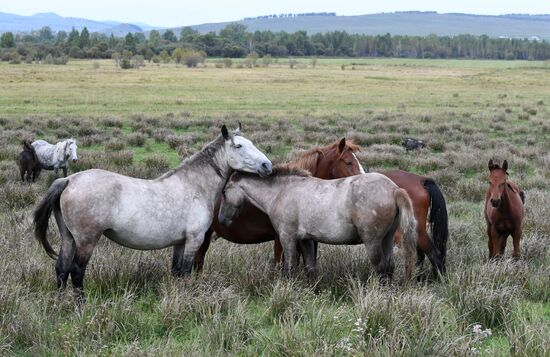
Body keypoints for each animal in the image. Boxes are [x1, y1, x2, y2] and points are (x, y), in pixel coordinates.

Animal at [34, 124, 274, 298]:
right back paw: (80, 306)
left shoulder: (180, 243)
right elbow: (186, 271)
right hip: (86, 240)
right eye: (239, 146)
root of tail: (69, 179)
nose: (267, 166)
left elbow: (176, 272)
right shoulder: (194, 240)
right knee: (76, 271)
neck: (194, 185)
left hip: (69, 238)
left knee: (61, 268)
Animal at [220, 166, 418, 280]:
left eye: (224, 192)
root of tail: (394, 189)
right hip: (387, 238)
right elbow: (310, 267)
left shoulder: (287, 238)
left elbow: (290, 267)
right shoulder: (306, 239)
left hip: (372, 241)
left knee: (380, 268)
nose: (221, 220)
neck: (281, 192)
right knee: (389, 267)